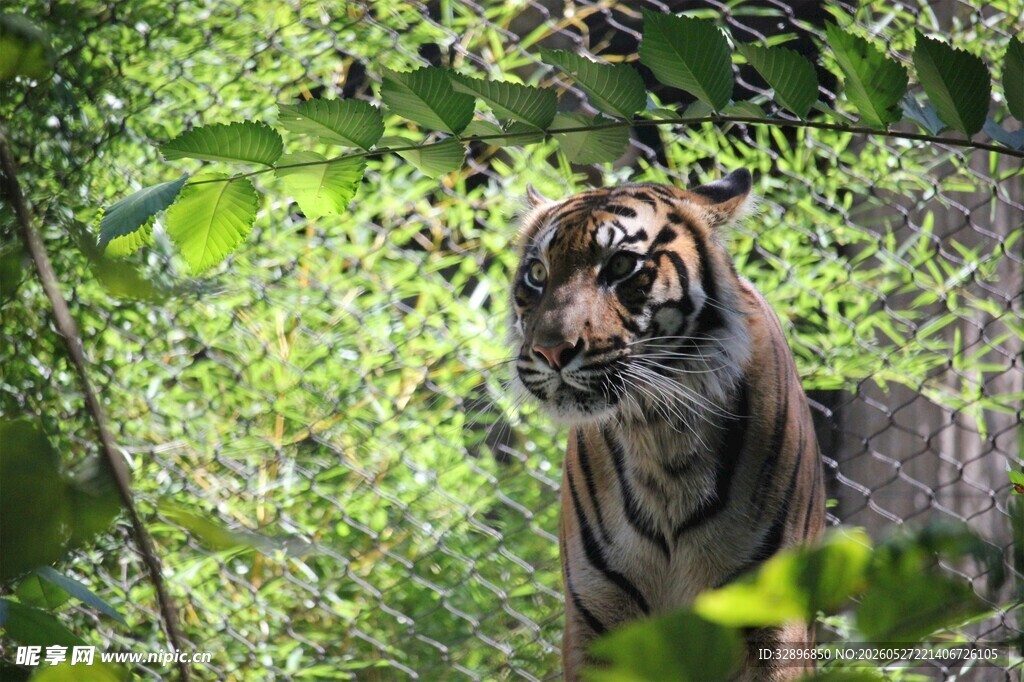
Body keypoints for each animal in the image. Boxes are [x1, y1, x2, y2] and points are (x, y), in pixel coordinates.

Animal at [509, 169, 826, 680]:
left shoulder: (774, 617)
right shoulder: (597, 616)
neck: (660, 436)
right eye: (537, 274)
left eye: (621, 266)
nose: (551, 351)